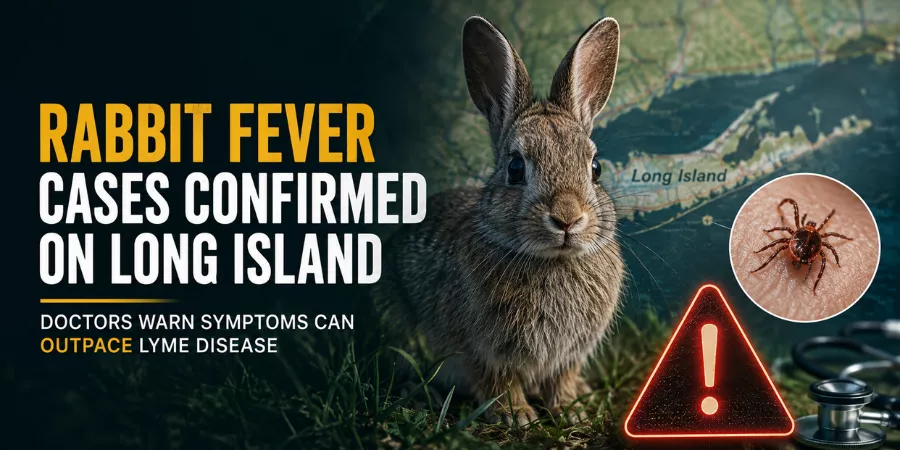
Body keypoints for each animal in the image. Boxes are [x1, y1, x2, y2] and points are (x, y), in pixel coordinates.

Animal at [374, 16, 624, 426]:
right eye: (516, 168)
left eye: (596, 168)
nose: (568, 219)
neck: (551, 261)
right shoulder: (480, 350)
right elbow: (497, 381)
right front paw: (517, 415)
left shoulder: (570, 355)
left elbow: (562, 378)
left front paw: (573, 409)